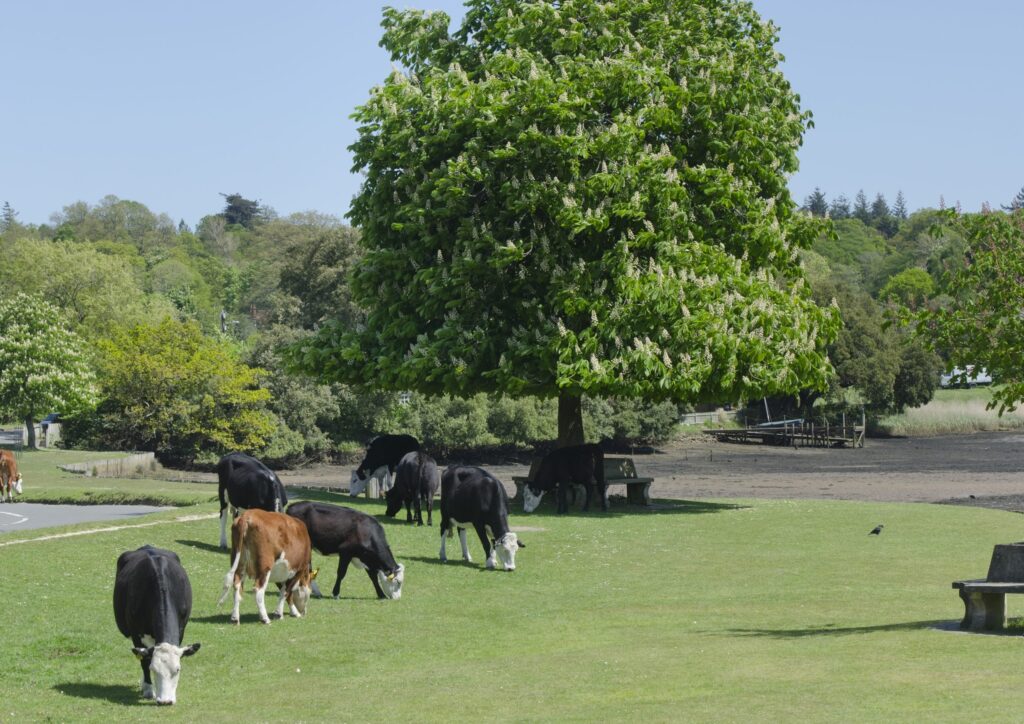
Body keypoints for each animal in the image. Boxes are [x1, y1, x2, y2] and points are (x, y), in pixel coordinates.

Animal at [113, 545, 200, 706]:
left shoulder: (181, 629)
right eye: (154, 669)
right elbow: (144, 662)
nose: (165, 701)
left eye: (178, 669)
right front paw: (148, 689)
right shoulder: (136, 632)